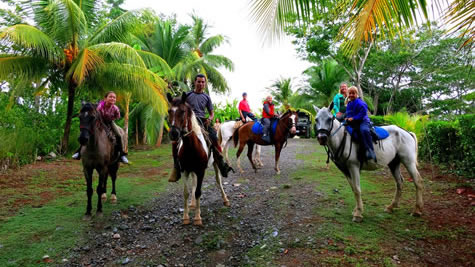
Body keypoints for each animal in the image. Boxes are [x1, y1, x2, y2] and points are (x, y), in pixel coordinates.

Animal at [167, 93, 231, 227]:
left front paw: (197, 218)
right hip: (192, 170)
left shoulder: (201, 170)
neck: (191, 146)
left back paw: (225, 199)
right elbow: (186, 192)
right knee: (194, 182)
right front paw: (186, 217)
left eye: (183, 111)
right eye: (169, 111)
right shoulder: (185, 170)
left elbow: (198, 192)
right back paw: (192, 204)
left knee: (218, 181)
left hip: (215, 163)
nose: (174, 133)